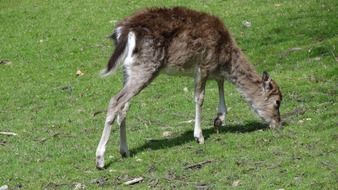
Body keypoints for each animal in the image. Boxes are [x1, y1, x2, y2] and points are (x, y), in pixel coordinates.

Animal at [95, 6, 282, 168]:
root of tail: (123, 31)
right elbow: (200, 98)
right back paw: (100, 160)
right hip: (146, 66)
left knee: (124, 107)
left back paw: (124, 151)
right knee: (115, 100)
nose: (278, 123)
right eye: (277, 101)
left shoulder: (213, 70)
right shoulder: (203, 65)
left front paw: (219, 119)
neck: (225, 57)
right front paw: (199, 136)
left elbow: (220, 83)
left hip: (128, 71)